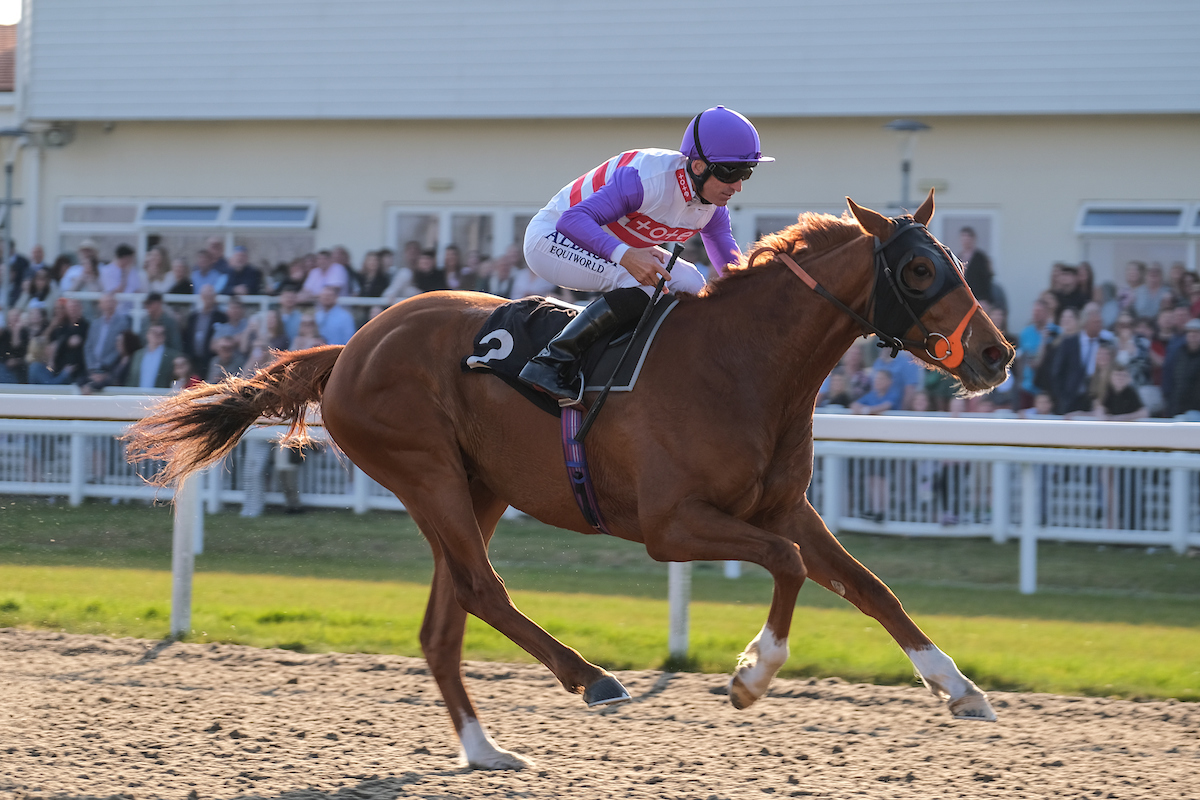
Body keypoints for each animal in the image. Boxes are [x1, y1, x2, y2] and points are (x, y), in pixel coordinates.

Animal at [125, 192, 1015, 770]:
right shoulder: (670, 525)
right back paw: (590, 679)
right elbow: (791, 569)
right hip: (427, 472)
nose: (997, 354)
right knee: (482, 591)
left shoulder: (782, 507)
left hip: (478, 488)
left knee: (444, 621)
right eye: (918, 271)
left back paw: (486, 750)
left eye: (954, 260)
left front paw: (960, 688)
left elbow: (869, 586)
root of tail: (352, 347)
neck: (744, 364)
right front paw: (750, 676)